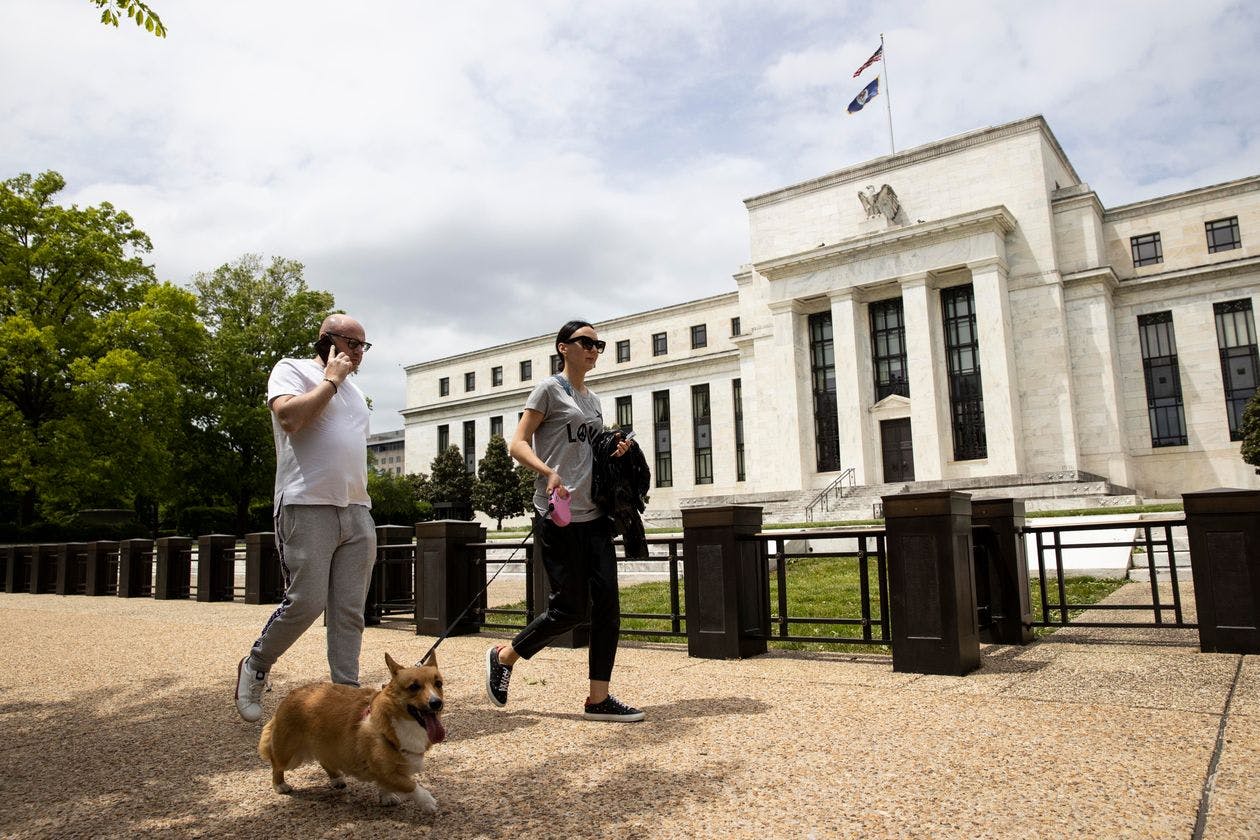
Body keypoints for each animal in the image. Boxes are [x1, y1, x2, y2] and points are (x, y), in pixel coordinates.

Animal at [258, 654, 446, 811]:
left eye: (439, 684)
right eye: (414, 687)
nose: (436, 703)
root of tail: (291, 694)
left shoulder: (387, 771)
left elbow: (387, 784)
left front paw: (386, 796)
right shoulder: (387, 771)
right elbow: (411, 785)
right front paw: (427, 801)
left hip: (324, 744)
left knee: (324, 760)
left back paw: (337, 779)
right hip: (289, 755)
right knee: (276, 765)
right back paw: (280, 785)